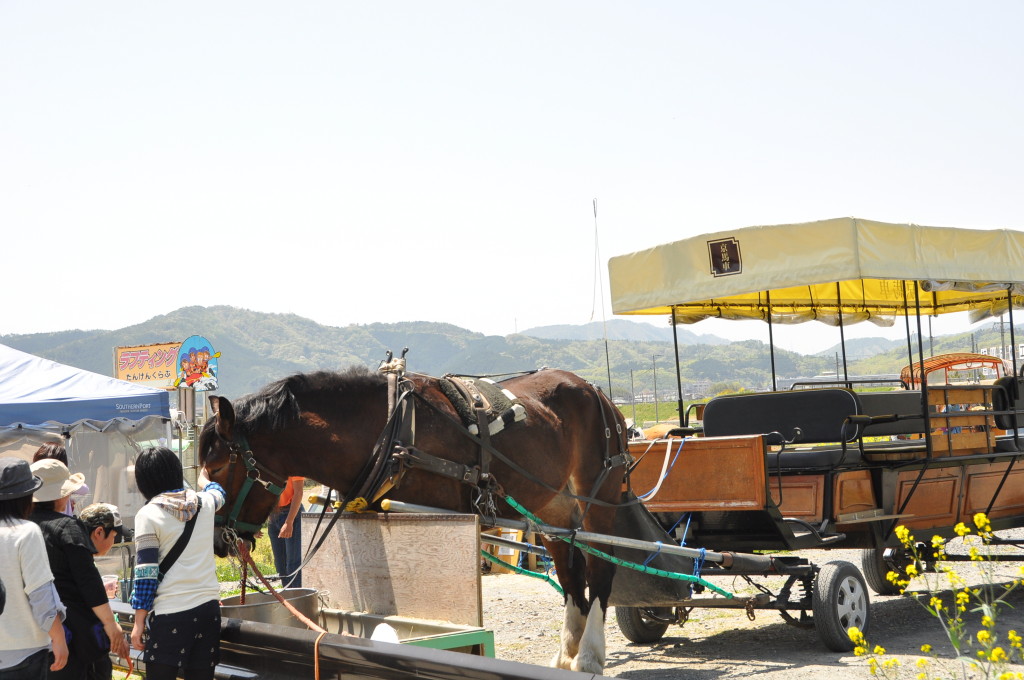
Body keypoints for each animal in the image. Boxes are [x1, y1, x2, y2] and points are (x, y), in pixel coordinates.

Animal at [196, 366, 626, 675]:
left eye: (216, 468)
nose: (217, 540)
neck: (386, 432)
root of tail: (596, 392)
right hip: (552, 506)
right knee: (570, 573)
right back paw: (567, 653)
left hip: (600, 498)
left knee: (601, 567)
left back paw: (589, 655)